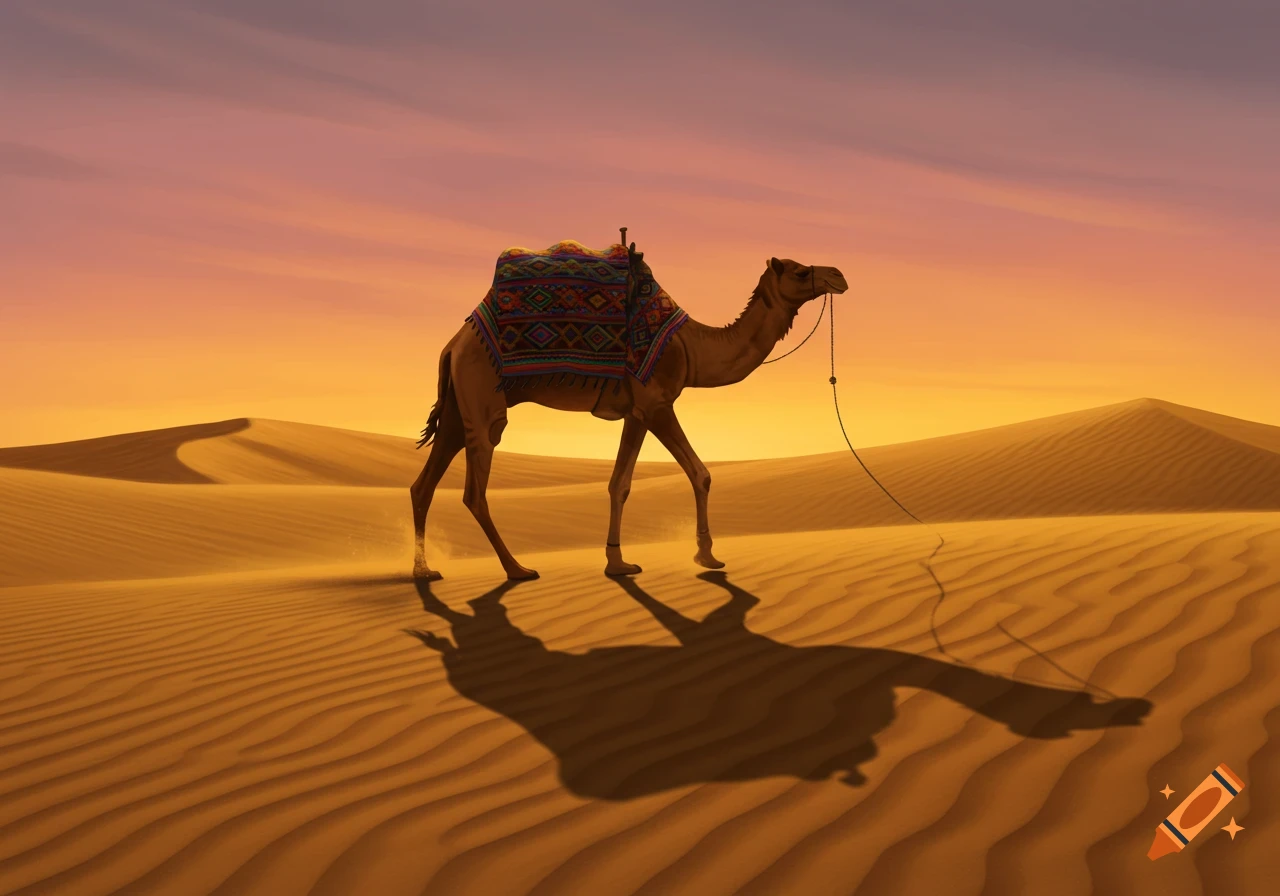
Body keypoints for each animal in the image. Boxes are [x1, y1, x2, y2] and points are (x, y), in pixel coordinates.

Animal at [411, 250, 848, 580]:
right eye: (800, 270)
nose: (839, 275)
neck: (691, 347)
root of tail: (452, 345)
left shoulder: (636, 412)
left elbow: (623, 483)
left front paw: (620, 561)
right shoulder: (655, 403)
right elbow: (694, 474)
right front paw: (702, 556)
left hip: (458, 408)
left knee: (424, 484)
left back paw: (424, 571)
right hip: (484, 400)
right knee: (474, 489)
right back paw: (517, 569)